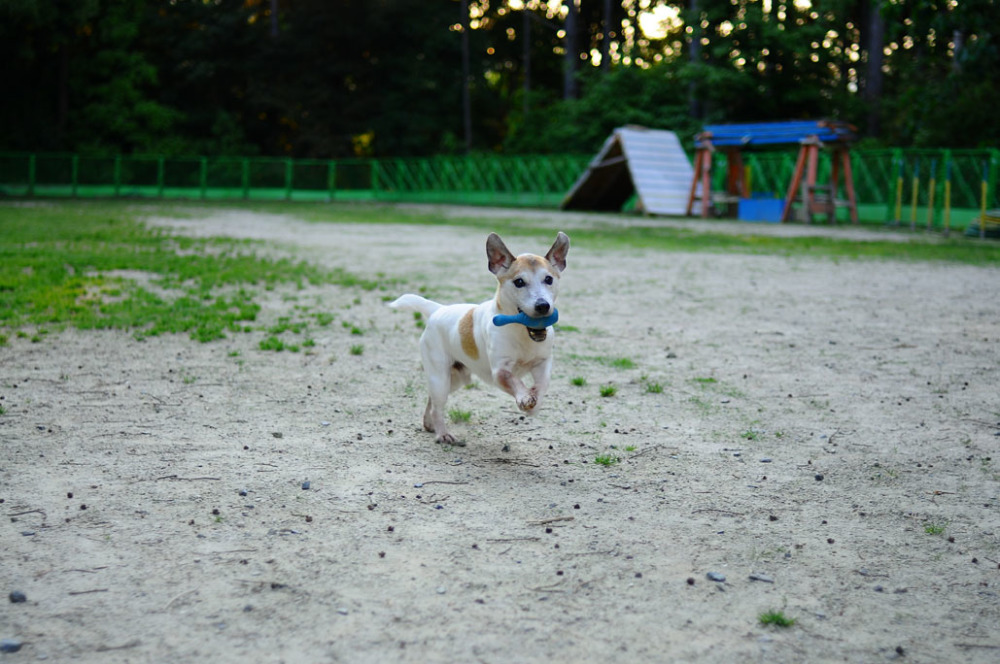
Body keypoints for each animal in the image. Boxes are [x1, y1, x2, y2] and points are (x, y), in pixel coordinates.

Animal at [388, 233, 568, 446]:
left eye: (548, 279)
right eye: (519, 282)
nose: (542, 305)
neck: (522, 333)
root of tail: (437, 309)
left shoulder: (542, 363)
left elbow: (542, 384)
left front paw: (535, 403)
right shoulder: (500, 371)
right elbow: (514, 380)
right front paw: (524, 397)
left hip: (456, 379)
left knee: (431, 400)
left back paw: (429, 423)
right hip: (440, 377)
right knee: (438, 406)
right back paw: (442, 433)